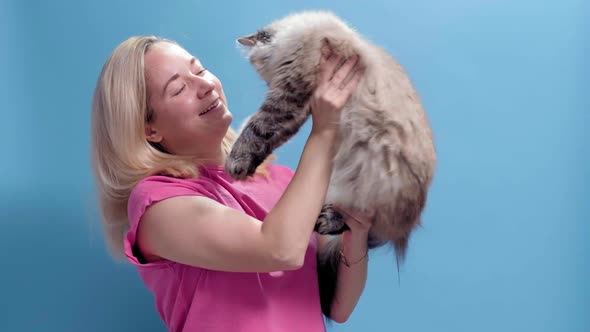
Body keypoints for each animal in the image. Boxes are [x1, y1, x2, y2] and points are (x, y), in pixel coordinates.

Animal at [227, 11, 440, 320]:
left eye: (264, 70)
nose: (266, 84)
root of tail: (406, 226)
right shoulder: (300, 105)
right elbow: (265, 135)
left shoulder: (290, 93)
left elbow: (257, 127)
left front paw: (235, 162)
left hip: (362, 187)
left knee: (359, 222)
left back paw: (327, 220)